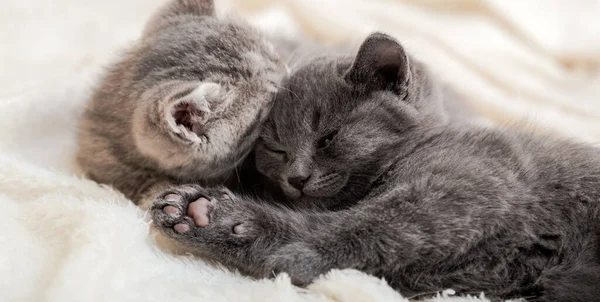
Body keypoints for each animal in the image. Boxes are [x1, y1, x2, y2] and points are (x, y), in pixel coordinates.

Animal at [149, 31, 600, 300]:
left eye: (327, 137)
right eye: (275, 149)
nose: (297, 178)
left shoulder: (467, 185)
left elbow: (367, 228)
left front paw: (223, 220)